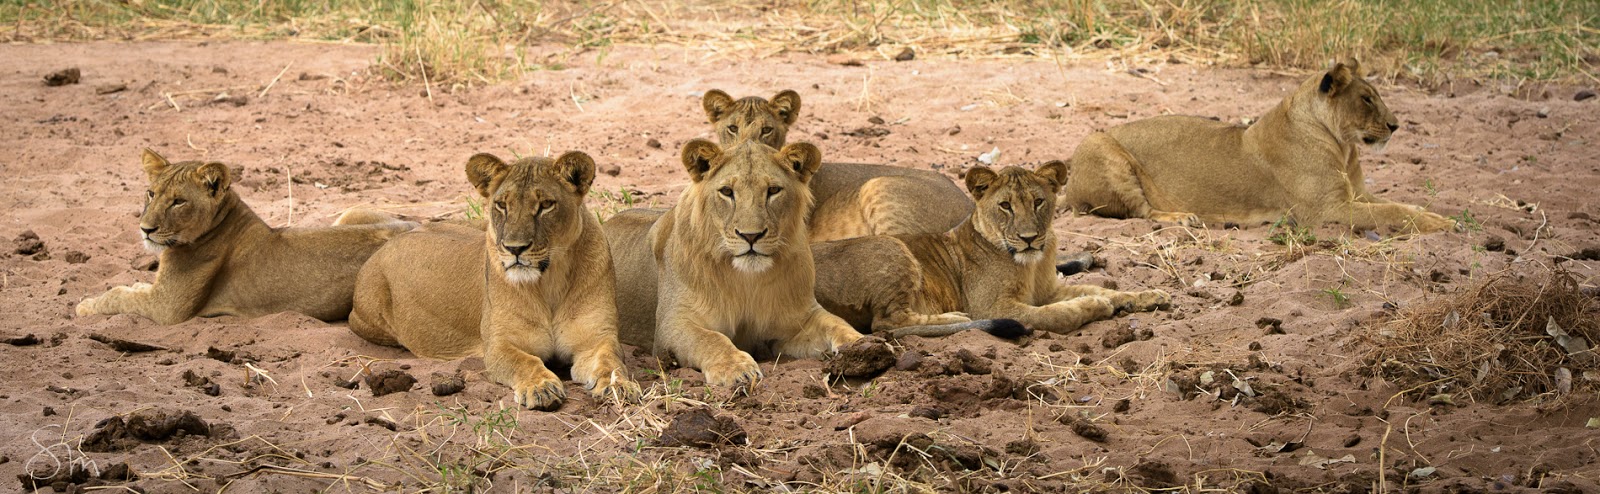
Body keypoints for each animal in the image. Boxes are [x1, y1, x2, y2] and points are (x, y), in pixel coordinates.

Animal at [75, 149, 416, 325]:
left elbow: (117, 296)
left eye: (178, 201)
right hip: (351, 212)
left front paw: (85, 306)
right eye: (151, 193)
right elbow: (130, 288)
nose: (145, 229)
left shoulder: (167, 308)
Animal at [348, 151, 639, 410]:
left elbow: (610, 361)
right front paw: (540, 387)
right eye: (502, 205)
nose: (514, 248)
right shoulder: (499, 344)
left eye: (546, 205)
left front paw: (619, 386)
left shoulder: (597, 339)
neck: (549, 282)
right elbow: (525, 362)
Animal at [813, 161, 1171, 334]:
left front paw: (1147, 296)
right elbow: (1055, 314)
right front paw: (1095, 306)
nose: (1029, 238)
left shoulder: (1047, 291)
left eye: (1038, 202)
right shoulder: (993, 307)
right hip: (892, 246)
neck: (1032, 264)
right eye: (1005, 206)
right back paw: (952, 316)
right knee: (886, 324)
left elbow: (1103, 288)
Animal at [1060, 59, 1455, 233]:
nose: (1395, 126)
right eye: (1367, 99)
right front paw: (1445, 224)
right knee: (1140, 211)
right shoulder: (1328, 210)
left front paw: (1440, 215)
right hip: (1097, 142)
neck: (1343, 147)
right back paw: (1183, 217)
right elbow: (1392, 213)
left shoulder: (1356, 195)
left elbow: (1402, 205)